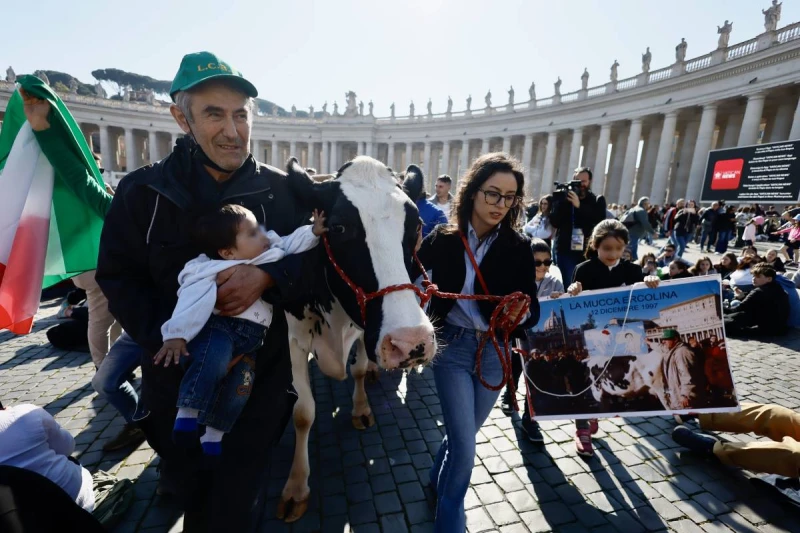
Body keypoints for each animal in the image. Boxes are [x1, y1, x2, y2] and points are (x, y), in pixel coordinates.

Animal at [276, 156, 438, 520]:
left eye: (417, 225)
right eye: (338, 228)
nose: (411, 341)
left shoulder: (366, 331)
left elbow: (360, 370)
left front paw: (361, 408)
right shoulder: (294, 338)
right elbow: (303, 412)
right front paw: (296, 485)